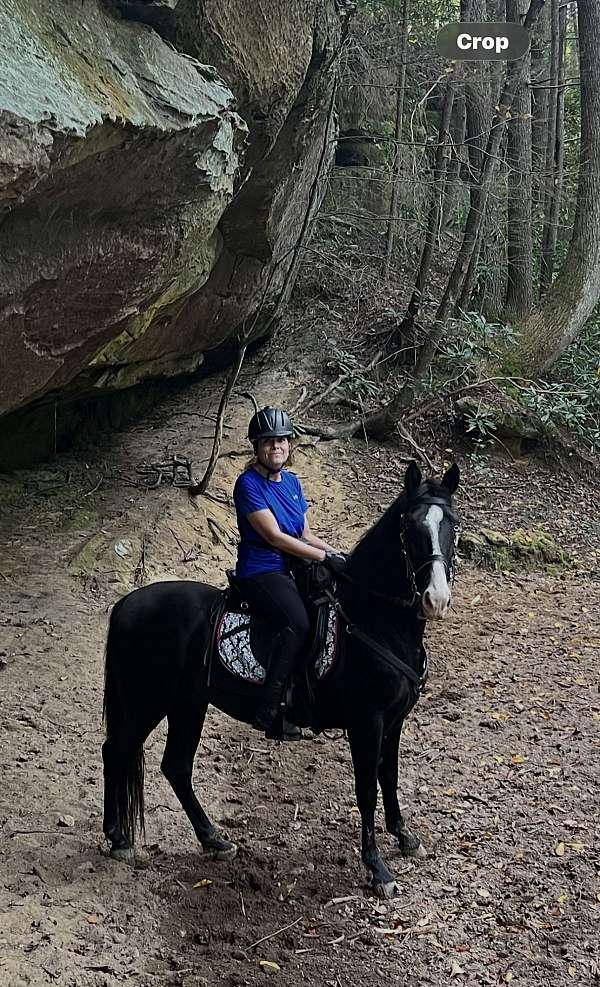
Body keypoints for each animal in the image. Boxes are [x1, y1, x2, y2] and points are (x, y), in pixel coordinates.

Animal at [101, 460, 460, 898]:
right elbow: (366, 792)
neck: (372, 620)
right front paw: (377, 870)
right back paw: (118, 838)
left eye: (453, 524)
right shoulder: (367, 724)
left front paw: (405, 838)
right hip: (144, 702)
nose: (436, 600)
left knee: (176, 767)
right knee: (115, 752)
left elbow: (388, 778)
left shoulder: (394, 722)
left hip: (188, 704)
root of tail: (125, 604)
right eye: (410, 528)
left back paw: (213, 840)